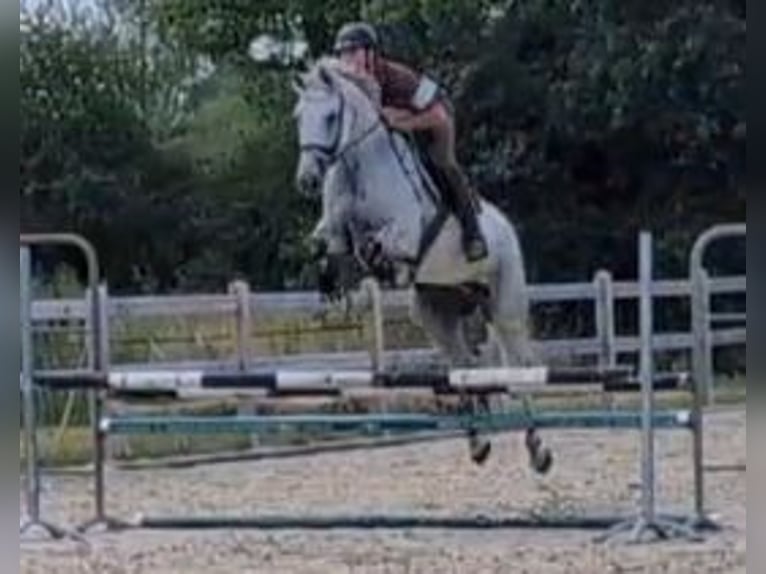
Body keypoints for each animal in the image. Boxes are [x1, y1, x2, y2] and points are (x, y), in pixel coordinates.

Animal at [293, 58, 551, 473]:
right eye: (300, 116)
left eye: (331, 116)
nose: (307, 179)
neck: (357, 167)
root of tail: (506, 227)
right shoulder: (331, 232)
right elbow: (325, 246)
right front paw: (335, 289)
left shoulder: (404, 235)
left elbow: (377, 247)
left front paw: (384, 270)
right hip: (436, 314)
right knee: (466, 366)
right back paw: (478, 441)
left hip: (505, 305)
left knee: (517, 365)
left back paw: (538, 448)